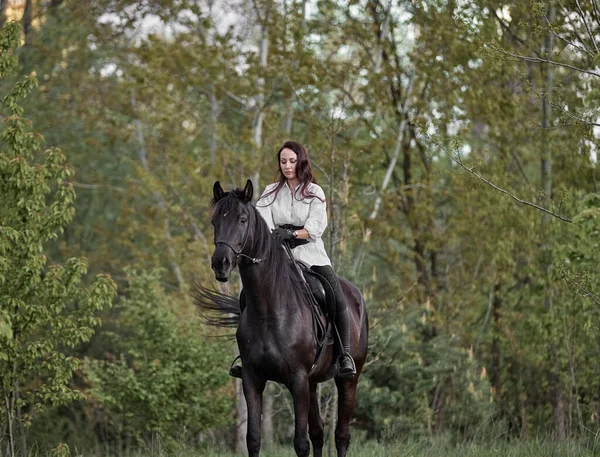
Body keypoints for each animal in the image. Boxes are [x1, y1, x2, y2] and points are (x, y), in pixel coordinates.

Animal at [195, 180, 368, 454]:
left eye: (243, 219)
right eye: (214, 221)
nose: (220, 263)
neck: (270, 310)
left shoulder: (297, 380)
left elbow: (300, 443)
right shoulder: (252, 379)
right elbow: (254, 438)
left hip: (348, 380)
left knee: (341, 435)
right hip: (312, 382)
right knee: (318, 433)